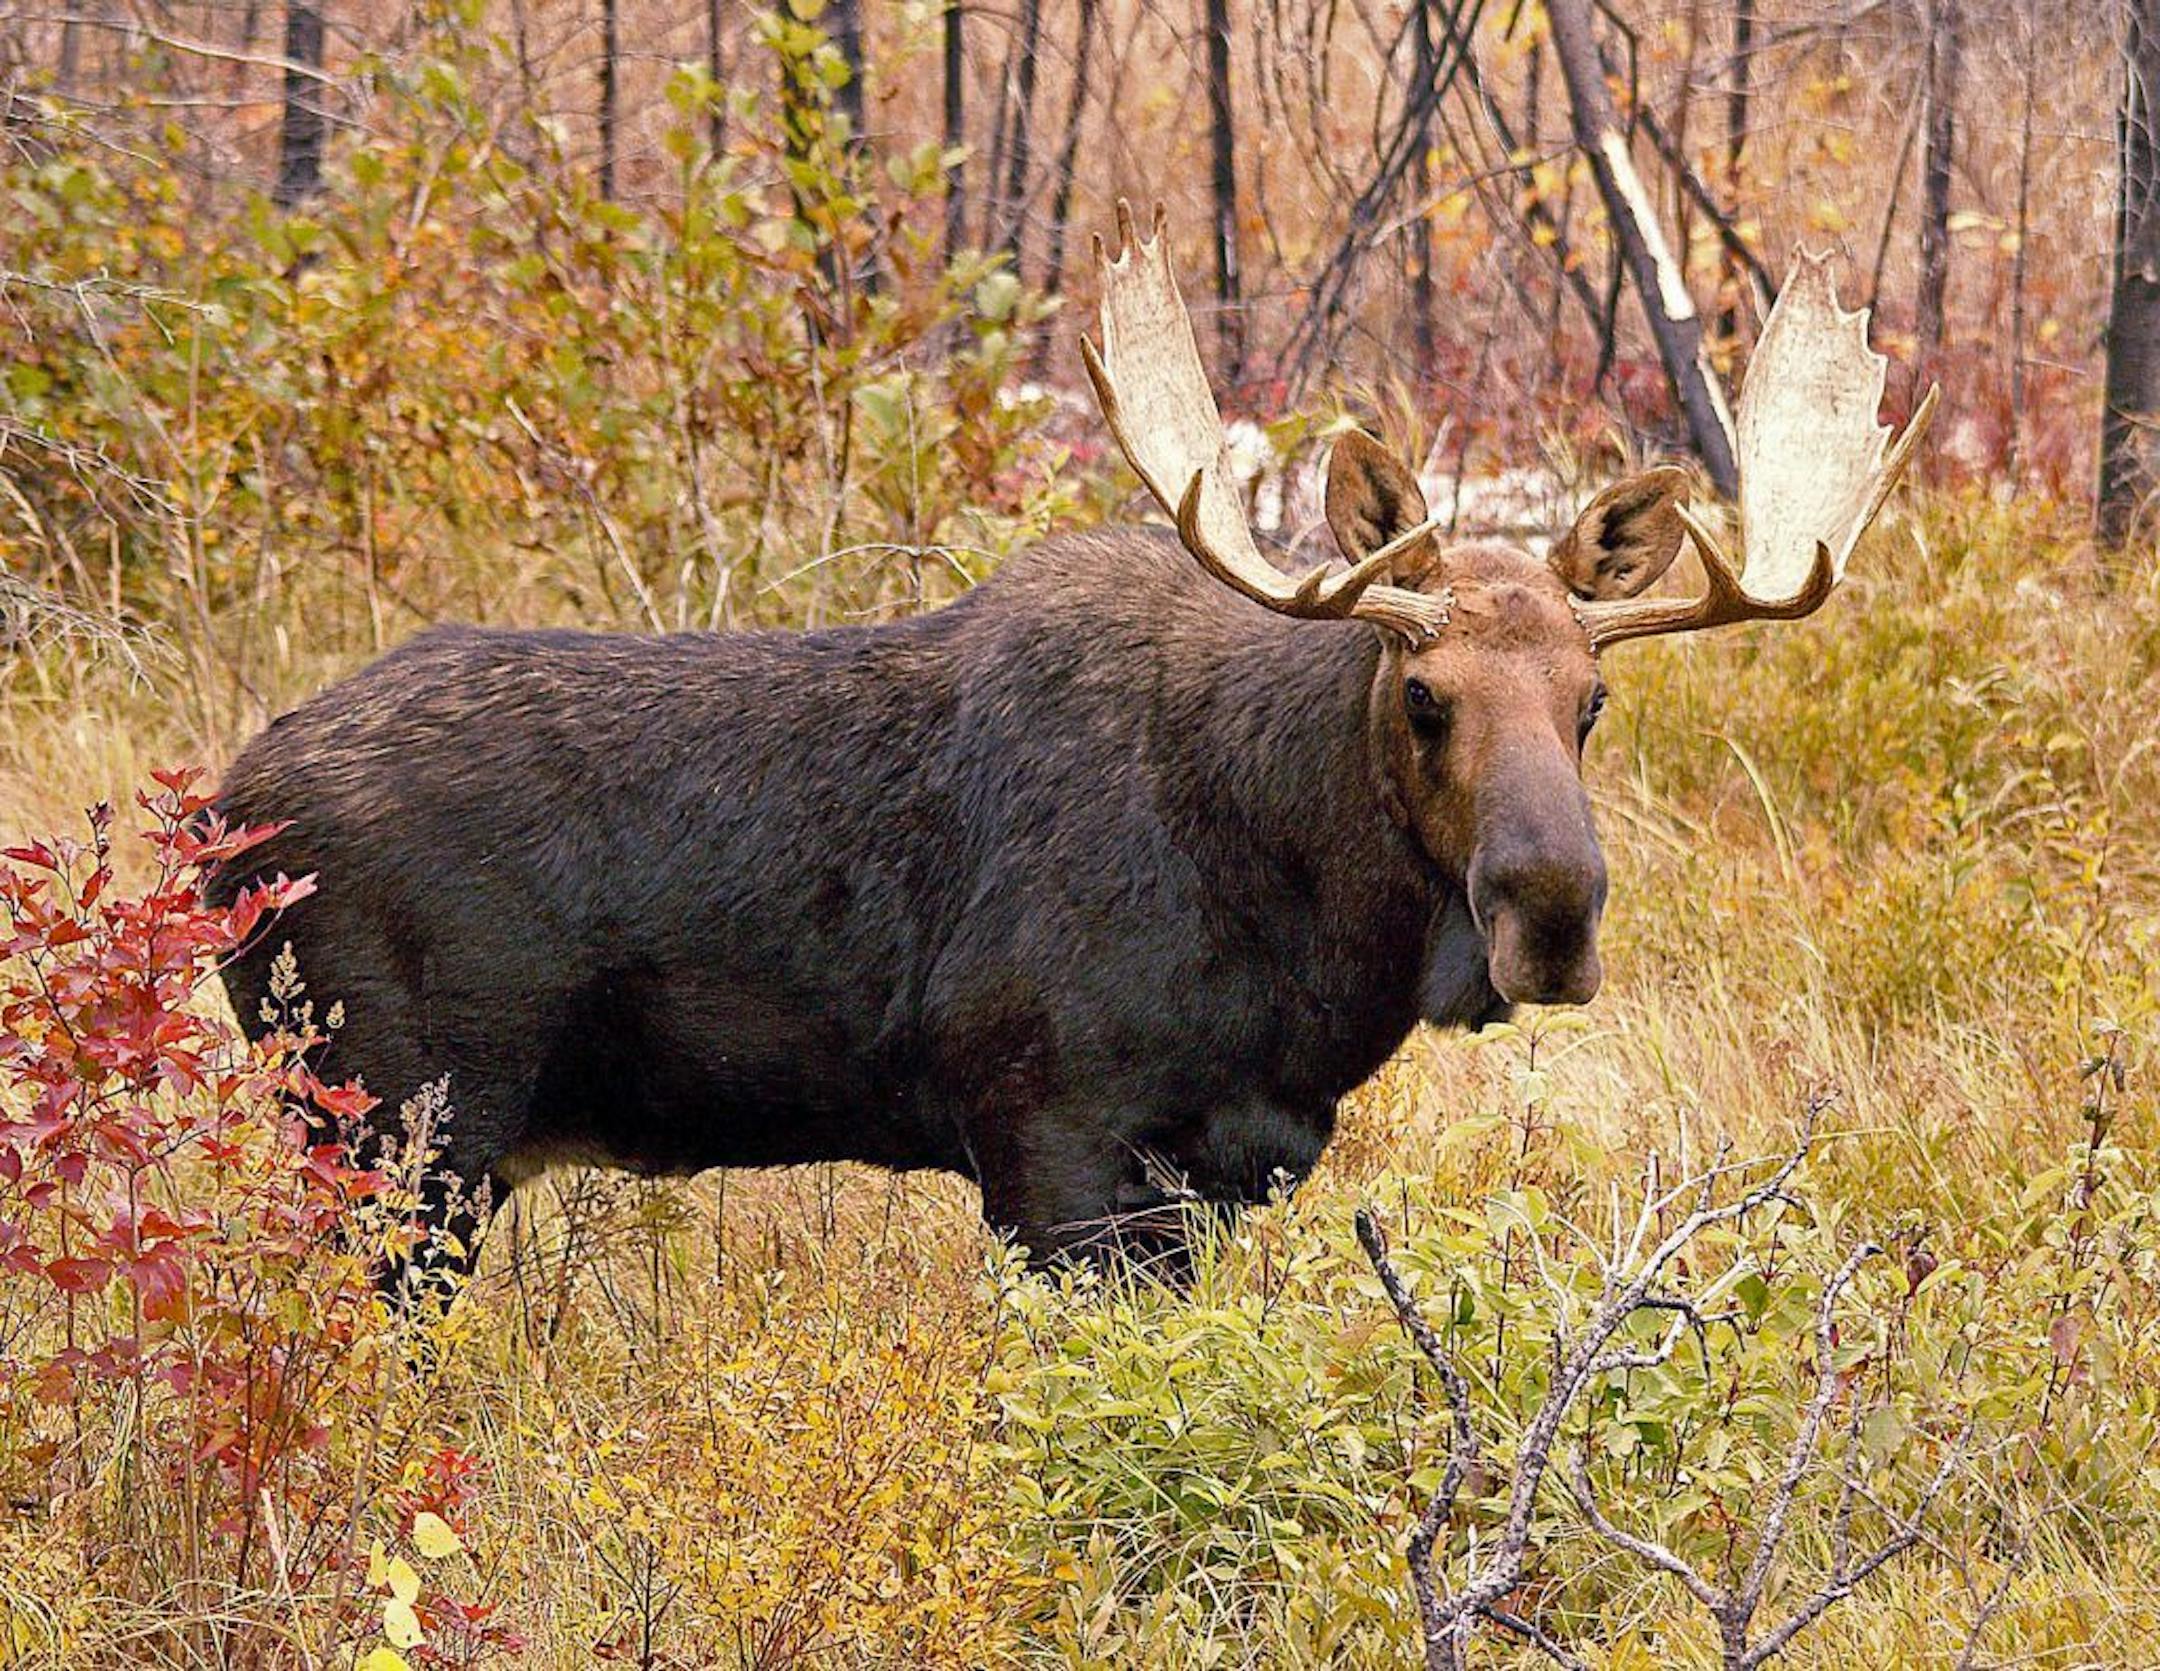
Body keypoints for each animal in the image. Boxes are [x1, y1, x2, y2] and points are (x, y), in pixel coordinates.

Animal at [206, 204, 1933, 1280]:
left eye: (1594, 699)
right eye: (1423, 692)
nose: (1553, 910)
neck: (1311, 954)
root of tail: (222, 805)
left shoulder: (1226, 1166)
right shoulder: (1047, 1135)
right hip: (395, 1128)